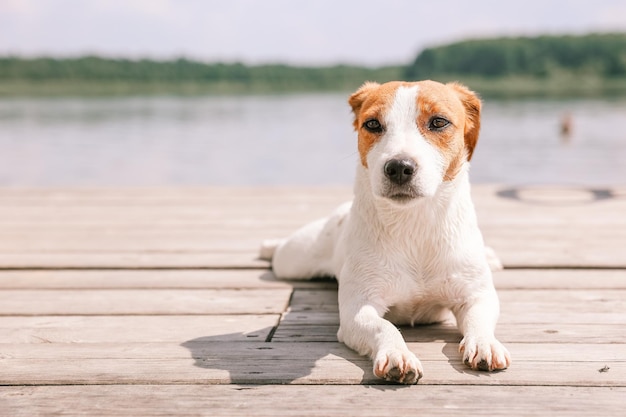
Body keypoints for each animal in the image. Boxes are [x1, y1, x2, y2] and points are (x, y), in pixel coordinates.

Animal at [258, 79, 508, 382]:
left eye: (439, 122)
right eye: (373, 124)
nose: (399, 167)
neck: (413, 225)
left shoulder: (476, 296)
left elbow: (479, 321)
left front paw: (485, 344)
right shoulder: (358, 310)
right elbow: (384, 327)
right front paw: (396, 354)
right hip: (294, 261)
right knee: (281, 253)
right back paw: (268, 245)